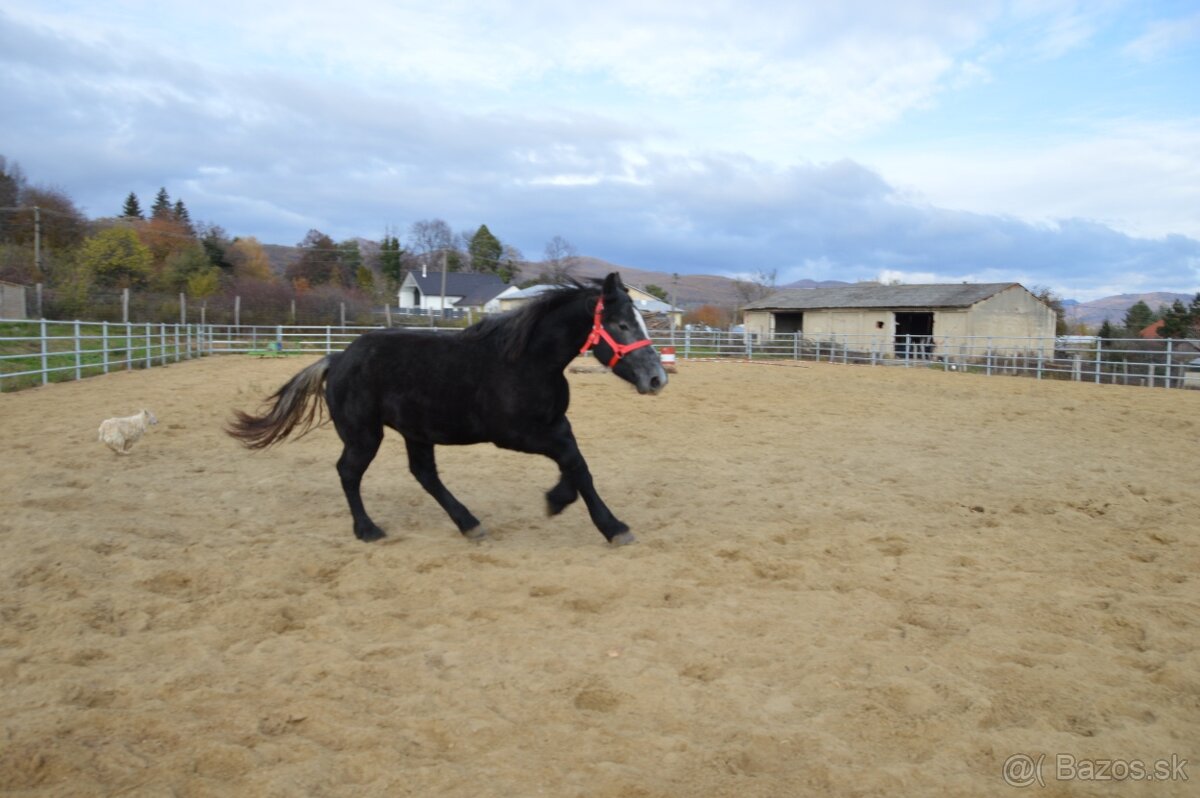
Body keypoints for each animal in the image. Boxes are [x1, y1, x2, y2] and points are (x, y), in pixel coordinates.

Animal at [226, 271, 667, 544]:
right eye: (622, 325)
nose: (657, 378)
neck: (528, 361)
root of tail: (336, 359)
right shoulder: (518, 434)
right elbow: (574, 461)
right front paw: (612, 527)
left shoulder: (555, 423)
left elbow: (576, 464)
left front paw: (558, 500)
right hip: (364, 435)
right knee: (349, 472)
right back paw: (368, 530)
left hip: (415, 432)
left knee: (424, 475)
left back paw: (469, 524)